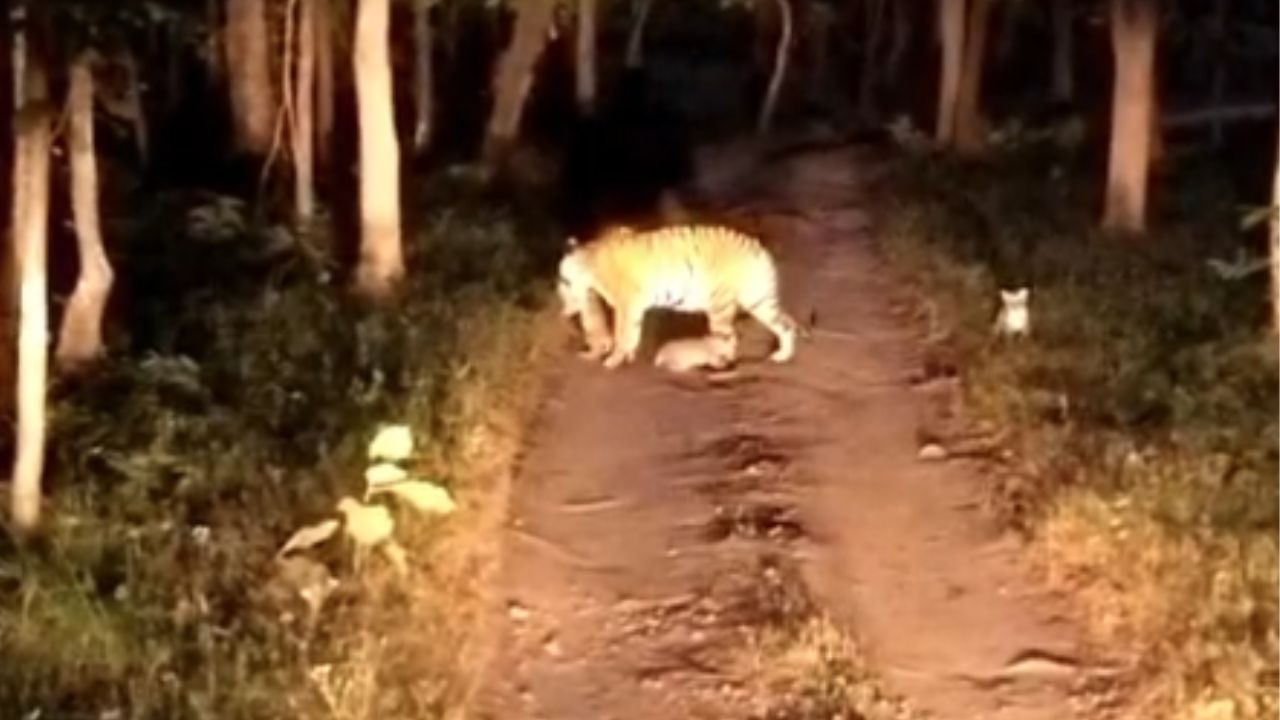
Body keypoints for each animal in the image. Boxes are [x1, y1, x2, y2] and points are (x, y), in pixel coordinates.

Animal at [556, 223, 799, 369]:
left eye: (563, 283)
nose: (565, 310)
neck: (590, 261)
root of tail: (758, 248)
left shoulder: (627, 304)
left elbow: (623, 334)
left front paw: (614, 360)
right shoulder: (633, 307)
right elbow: (631, 335)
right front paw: (627, 356)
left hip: (720, 307)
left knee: (728, 340)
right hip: (758, 299)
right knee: (785, 325)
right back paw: (782, 355)